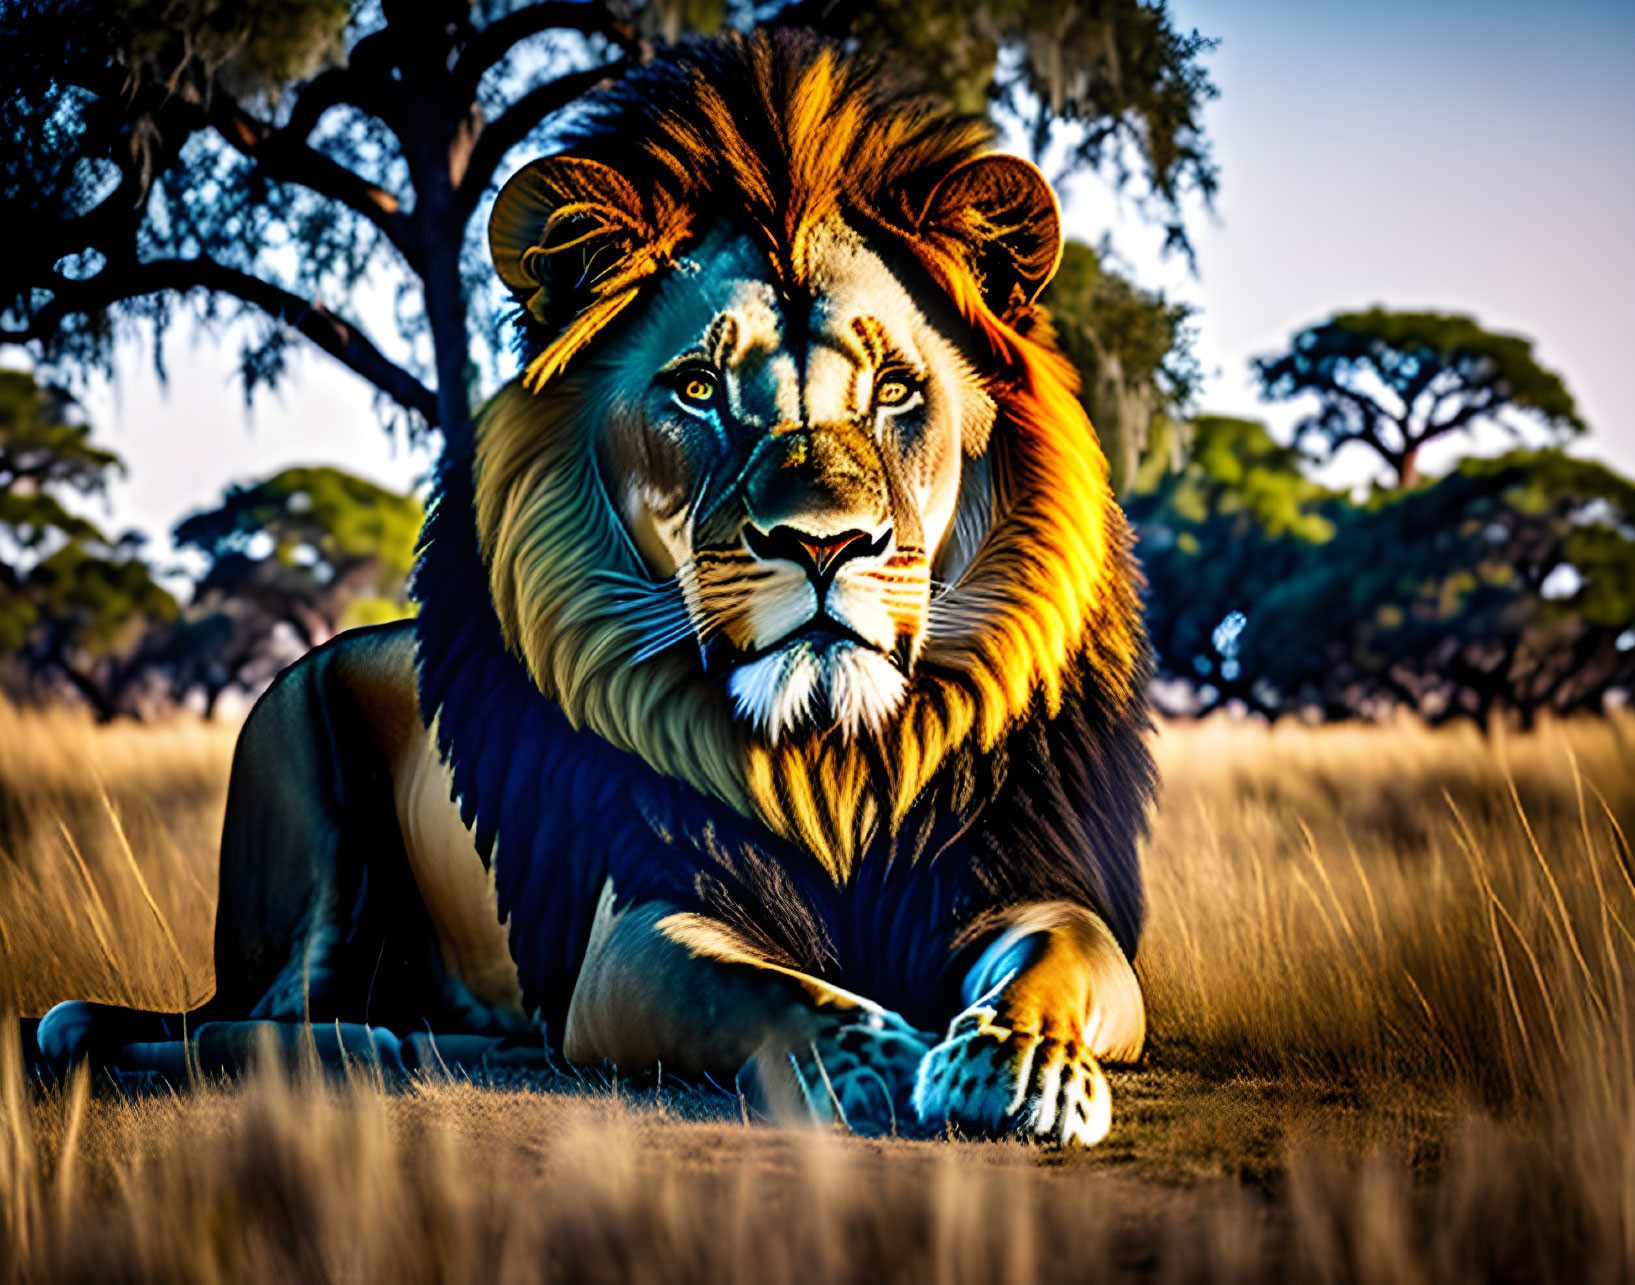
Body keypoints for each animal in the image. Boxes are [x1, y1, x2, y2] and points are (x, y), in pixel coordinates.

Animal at [41, 35, 1164, 1144]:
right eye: (698, 390)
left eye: (895, 390)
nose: (824, 543)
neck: (830, 763)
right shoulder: (634, 926)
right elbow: (774, 991)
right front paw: (876, 1060)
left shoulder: (1019, 879)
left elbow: (1057, 960)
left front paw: (1021, 1063)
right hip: (304, 815)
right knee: (214, 1026)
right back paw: (378, 1045)